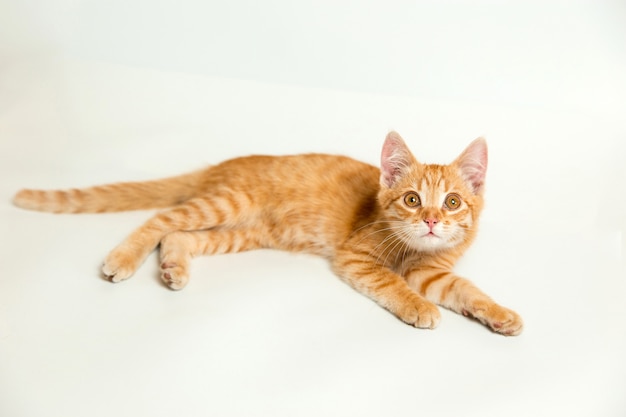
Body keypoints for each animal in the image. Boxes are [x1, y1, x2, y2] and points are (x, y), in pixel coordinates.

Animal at [13, 132, 520, 334]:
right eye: (413, 199)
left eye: (452, 202)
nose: (432, 220)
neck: (410, 248)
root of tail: (220, 166)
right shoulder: (357, 257)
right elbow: (394, 284)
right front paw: (419, 309)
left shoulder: (433, 273)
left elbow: (466, 289)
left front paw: (500, 314)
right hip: (227, 204)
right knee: (159, 221)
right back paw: (121, 259)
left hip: (239, 231)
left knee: (179, 236)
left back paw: (174, 267)